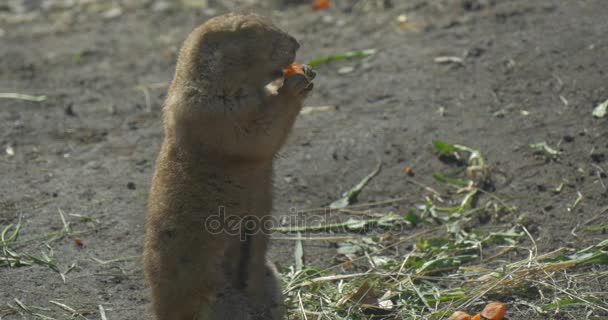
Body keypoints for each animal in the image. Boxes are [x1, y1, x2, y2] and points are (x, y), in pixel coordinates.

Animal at [142, 13, 314, 320]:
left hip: (269, 280)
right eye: (247, 31)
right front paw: (293, 82)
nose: (296, 43)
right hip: (219, 303)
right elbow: (256, 133)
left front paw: (305, 70)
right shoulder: (210, 111)